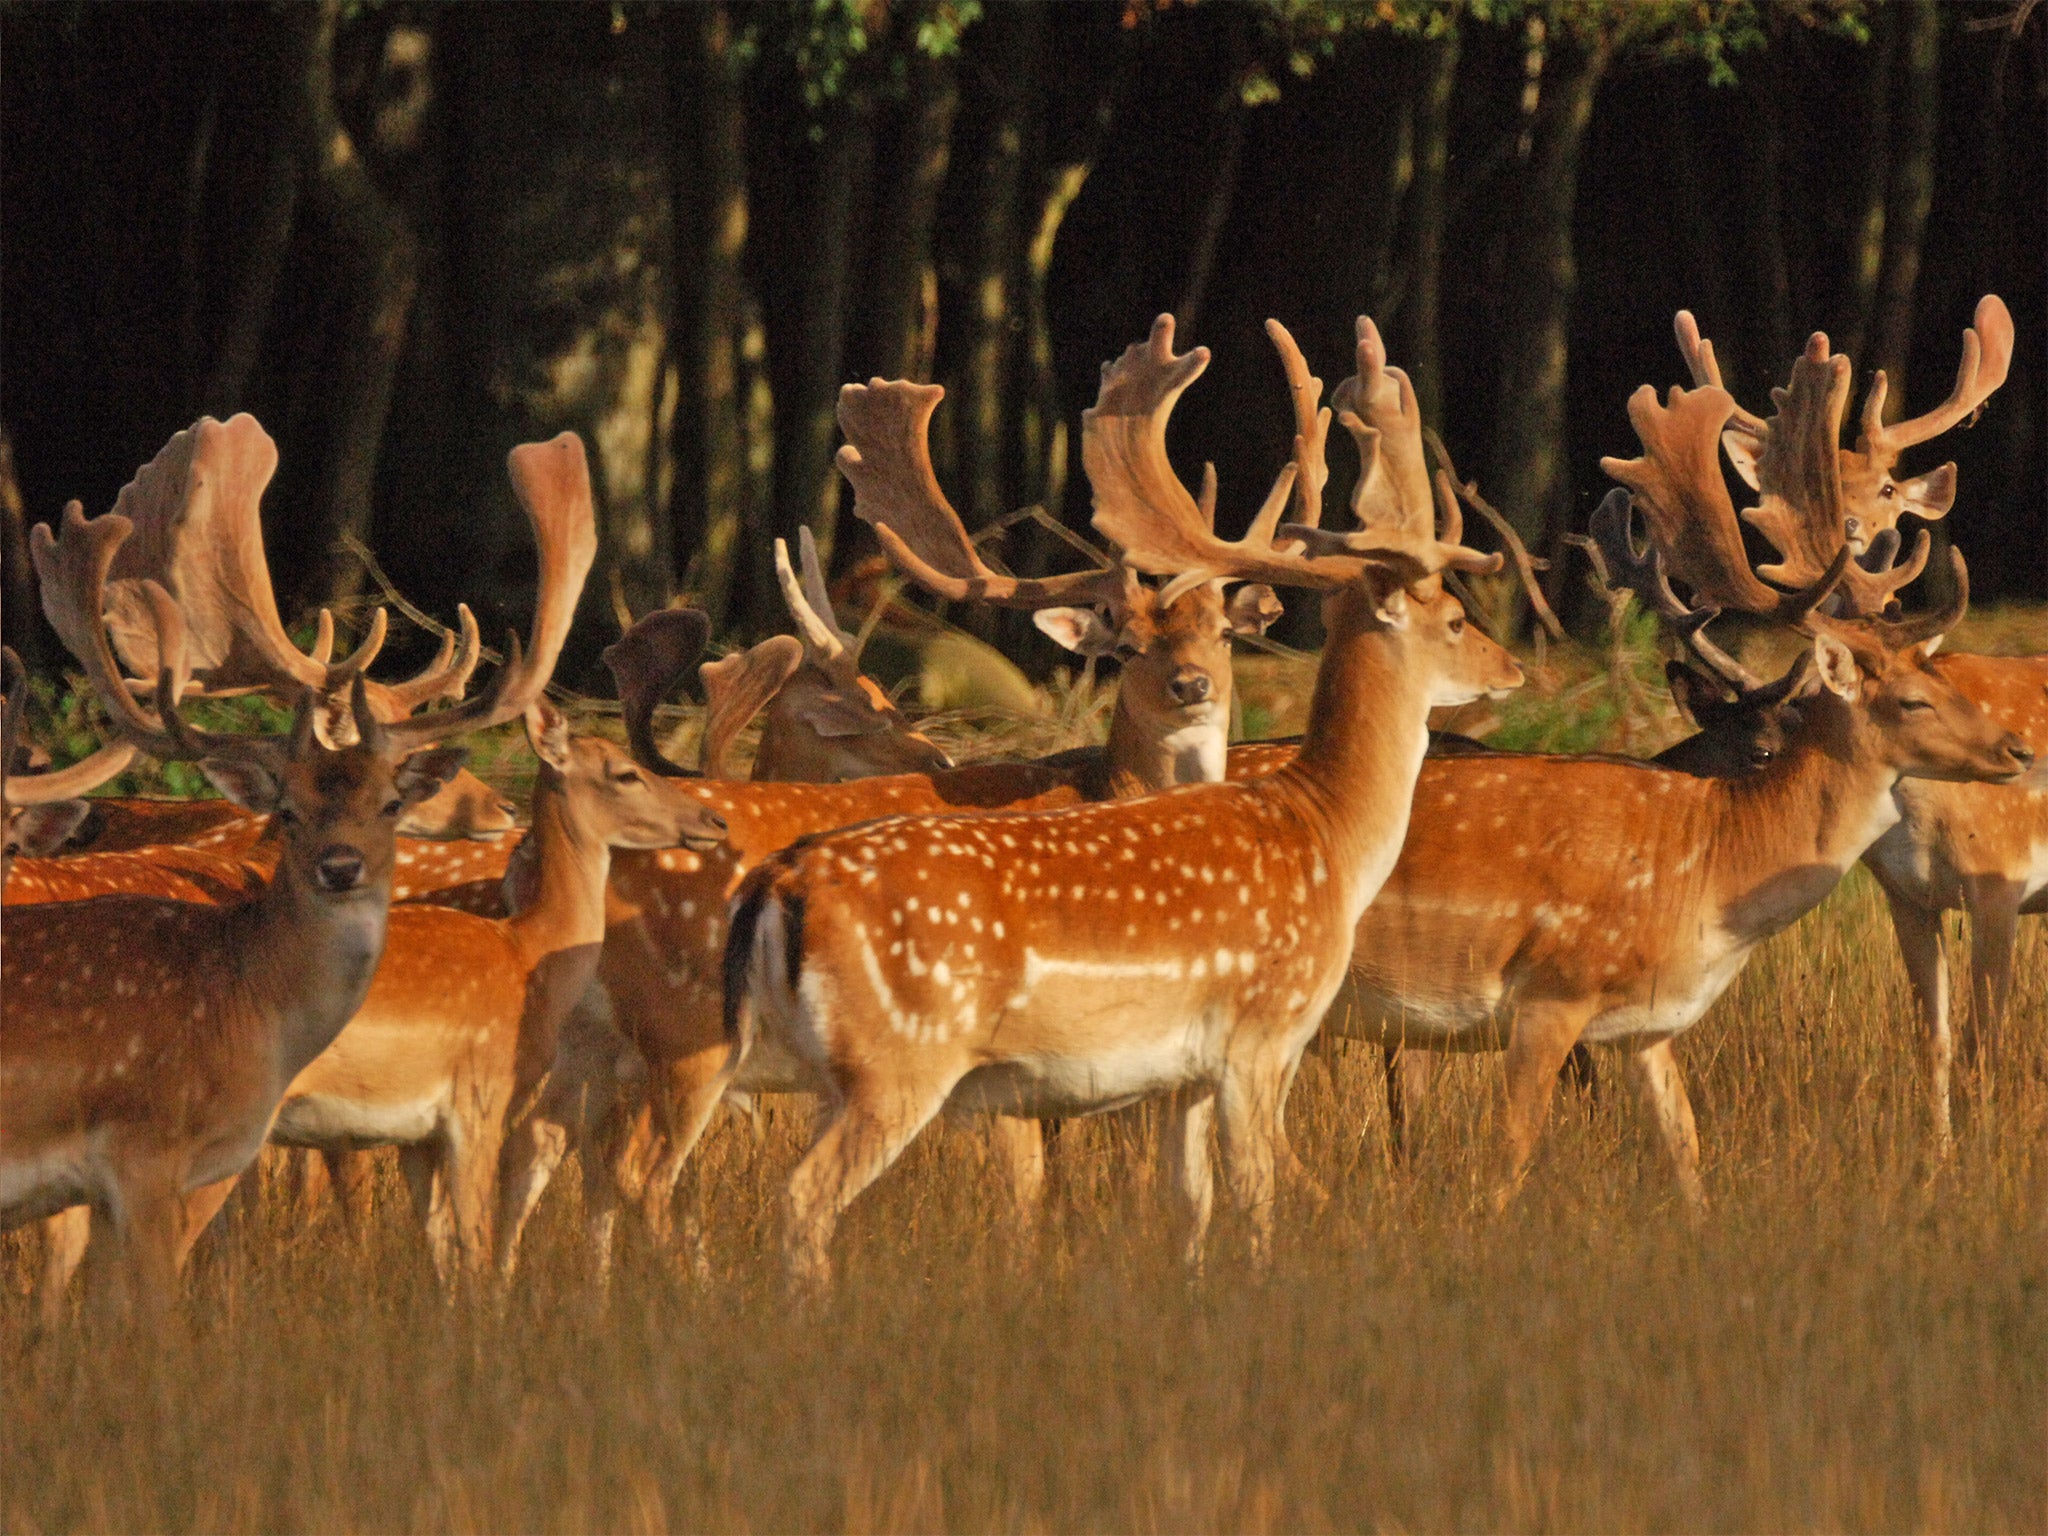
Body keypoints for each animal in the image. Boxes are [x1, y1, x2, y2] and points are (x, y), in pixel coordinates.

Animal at [724, 313, 1523, 1286]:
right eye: (1454, 618)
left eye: (1224, 632)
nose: (1512, 666)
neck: (1322, 831)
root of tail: (780, 887)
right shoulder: (1260, 1037)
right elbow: (1254, 1196)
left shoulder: (1180, 1075)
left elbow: (1190, 1203)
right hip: (895, 1059)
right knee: (799, 1197)